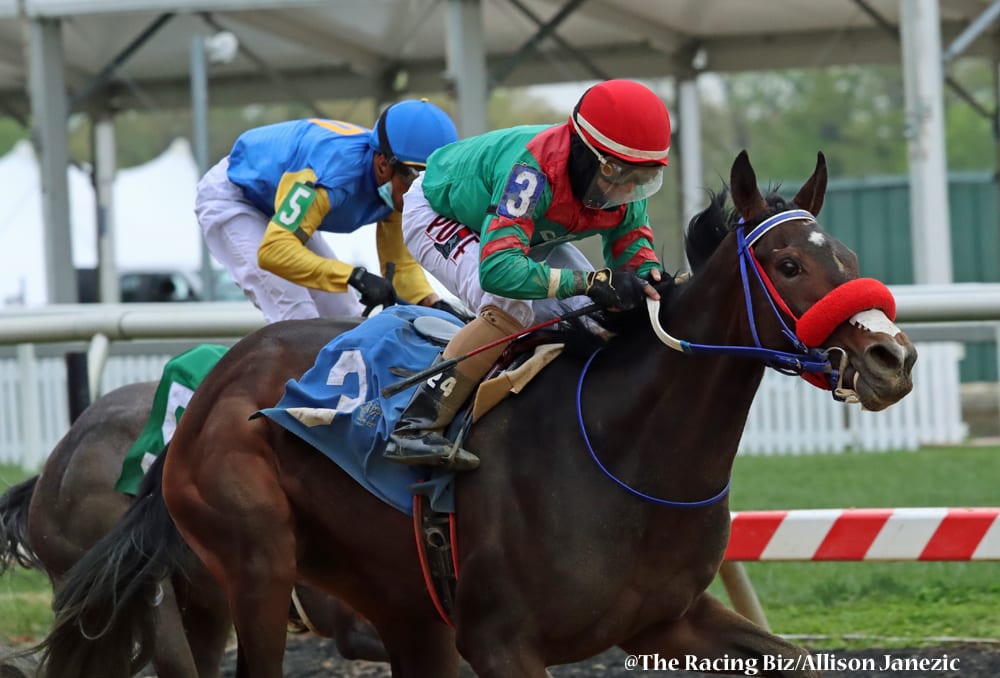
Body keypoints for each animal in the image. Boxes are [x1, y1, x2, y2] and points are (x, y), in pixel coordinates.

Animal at [27, 151, 916, 676]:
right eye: (788, 264)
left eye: (849, 259)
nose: (892, 358)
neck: (626, 454)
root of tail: (211, 385)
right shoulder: (501, 642)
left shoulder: (669, 620)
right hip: (252, 563)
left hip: (384, 603)